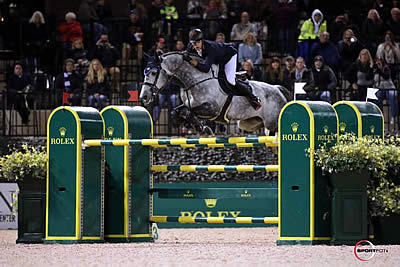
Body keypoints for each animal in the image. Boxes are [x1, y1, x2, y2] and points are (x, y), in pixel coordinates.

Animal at [141, 51, 290, 136]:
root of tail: (278, 89)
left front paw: (203, 128)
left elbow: (187, 111)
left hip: (272, 123)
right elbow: (178, 111)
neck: (194, 79)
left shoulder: (212, 109)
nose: (144, 97)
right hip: (250, 123)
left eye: (153, 72)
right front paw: (192, 126)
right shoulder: (189, 104)